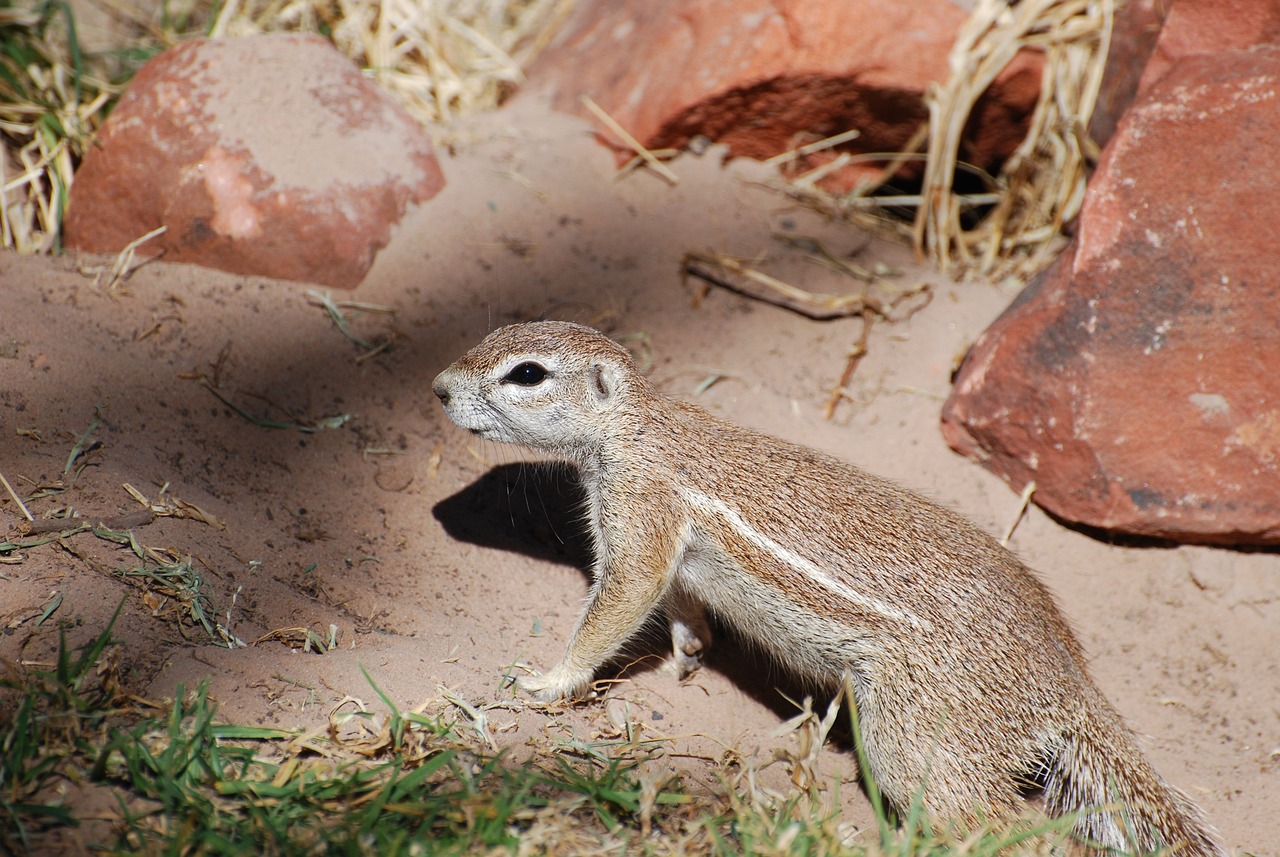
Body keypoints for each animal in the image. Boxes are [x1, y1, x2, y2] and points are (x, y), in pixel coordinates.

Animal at [435, 318, 1223, 854]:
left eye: (527, 374)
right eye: (491, 334)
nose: (438, 388)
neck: (637, 427)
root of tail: (1067, 681)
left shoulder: (640, 512)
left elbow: (618, 600)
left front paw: (548, 680)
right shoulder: (668, 548)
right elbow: (677, 601)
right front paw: (687, 651)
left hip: (916, 738)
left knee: (995, 826)